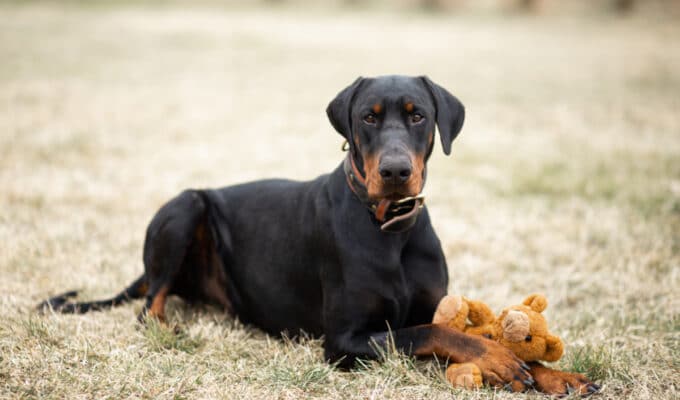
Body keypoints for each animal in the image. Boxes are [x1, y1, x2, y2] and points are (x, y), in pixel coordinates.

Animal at [39, 76, 596, 396]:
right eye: (369, 117)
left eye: (418, 115)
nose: (395, 171)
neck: (389, 228)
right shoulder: (346, 340)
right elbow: (435, 333)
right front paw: (497, 358)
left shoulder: (427, 304)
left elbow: (452, 329)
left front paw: (555, 374)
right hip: (185, 206)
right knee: (149, 300)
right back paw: (167, 327)